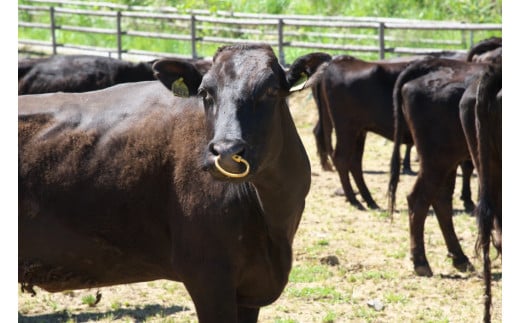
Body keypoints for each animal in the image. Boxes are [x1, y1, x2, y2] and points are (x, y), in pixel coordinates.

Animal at [19, 44, 330, 322]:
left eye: (270, 90)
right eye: (205, 93)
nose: (225, 151)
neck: (271, 218)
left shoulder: (250, 289)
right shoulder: (208, 276)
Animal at [388, 57, 494, 278]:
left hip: (448, 160)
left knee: (441, 199)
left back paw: (460, 258)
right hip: (436, 159)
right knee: (419, 199)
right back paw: (421, 262)